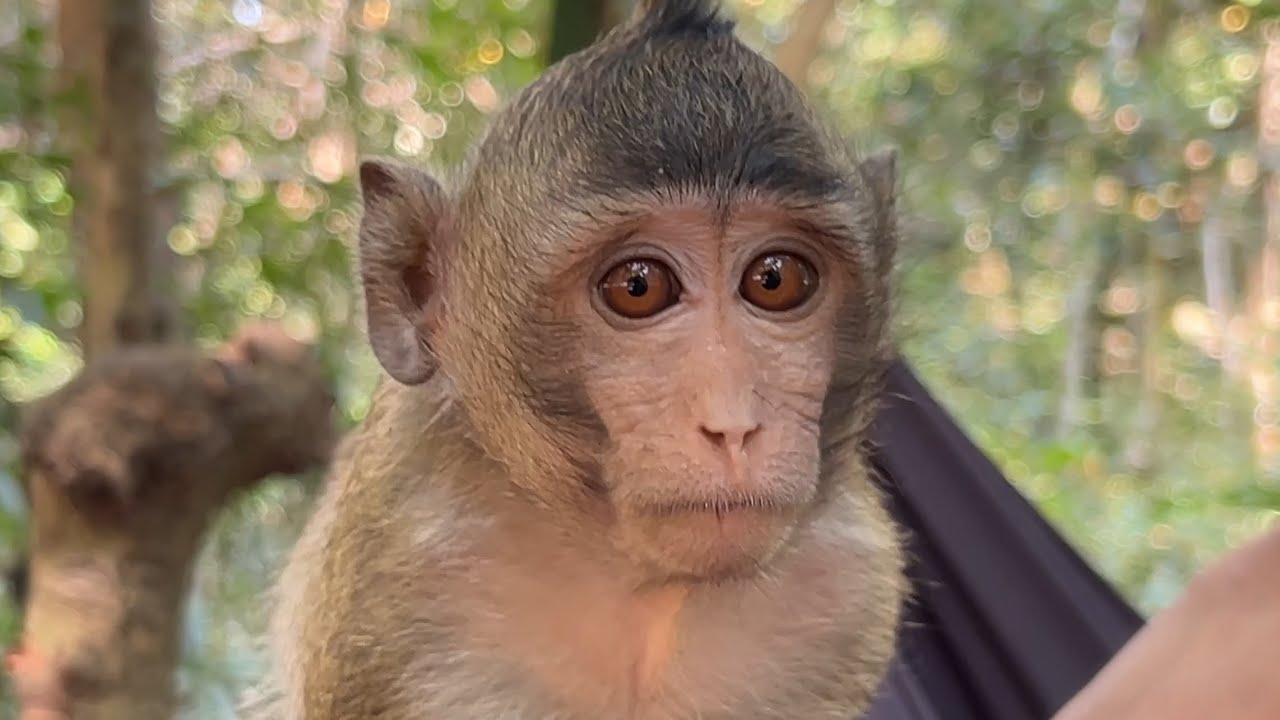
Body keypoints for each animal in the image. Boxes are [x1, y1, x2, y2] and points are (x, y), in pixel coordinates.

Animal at [266, 1, 907, 718]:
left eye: (775, 280)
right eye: (639, 287)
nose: (734, 425)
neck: (645, 589)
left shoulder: (854, 588)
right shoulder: (395, 579)